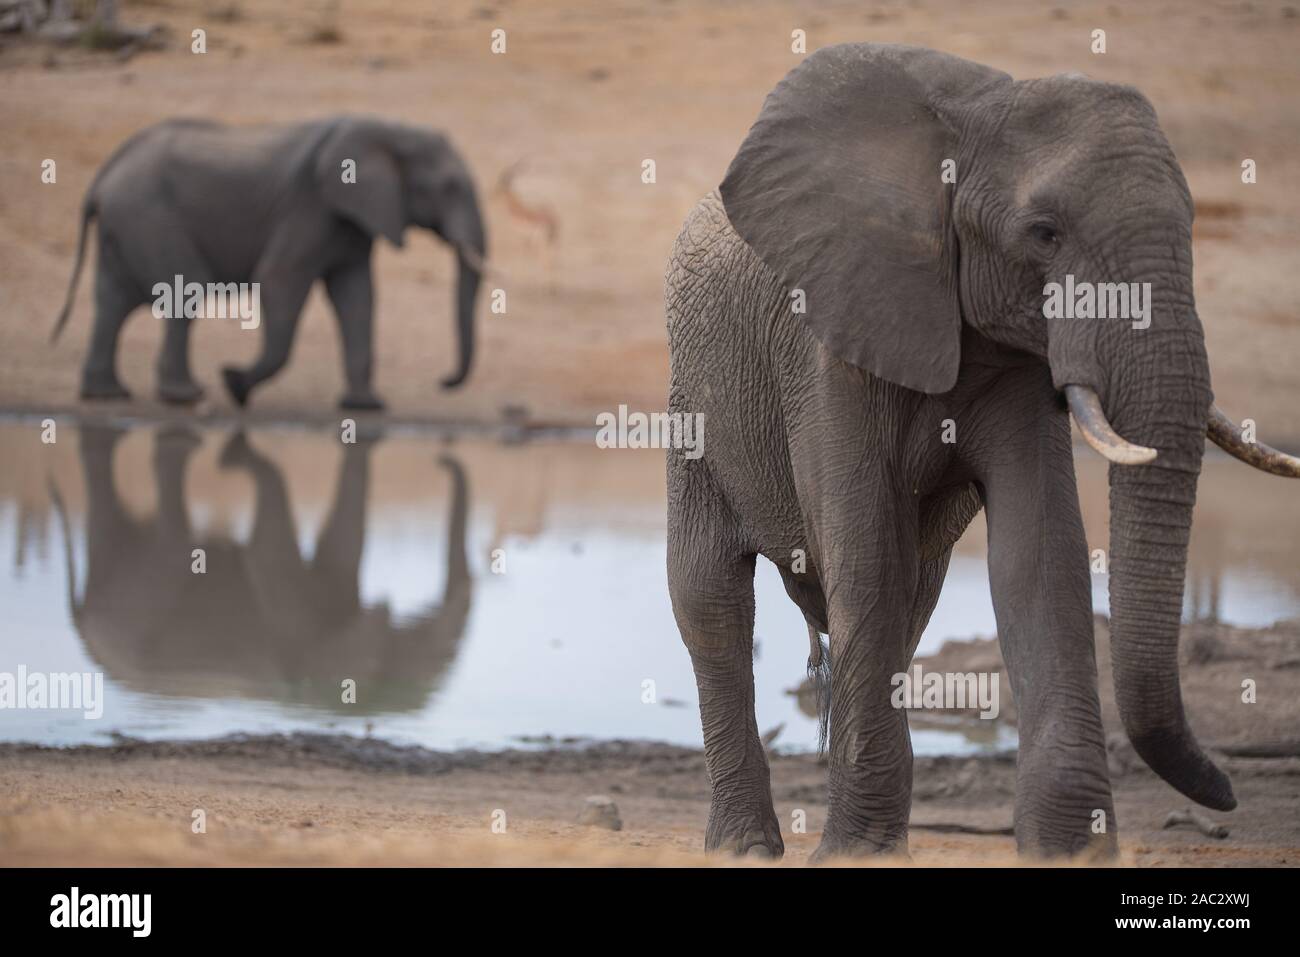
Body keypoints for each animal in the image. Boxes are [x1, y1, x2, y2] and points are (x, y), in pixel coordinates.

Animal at [49, 113, 488, 408]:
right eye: (449, 187)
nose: (444, 382)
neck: (389, 129)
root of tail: (104, 175)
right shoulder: (310, 207)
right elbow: (280, 280)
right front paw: (235, 385)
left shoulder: (351, 218)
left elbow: (357, 296)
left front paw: (365, 406)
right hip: (147, 213)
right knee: (183, 289)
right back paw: (184, 397)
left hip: (127, 221)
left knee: (114, 301)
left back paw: (108, 395)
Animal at [49, 421, 473, 712]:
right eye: (409, 657)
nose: (444, 453)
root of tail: (81, 626)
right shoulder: (291, 625)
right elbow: (271, 546)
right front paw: (233, 459)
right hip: (136, 601)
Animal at [665, 46, 1294, 858]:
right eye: (1044, 233)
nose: (1227, 791)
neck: (975, 114)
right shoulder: (826, 345)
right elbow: (866, 552)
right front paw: (860, 856)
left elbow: (1039, 552)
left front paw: (1071, 849)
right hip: (693, 398)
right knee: (710, 598)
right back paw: (745, 847)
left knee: (912, 602)